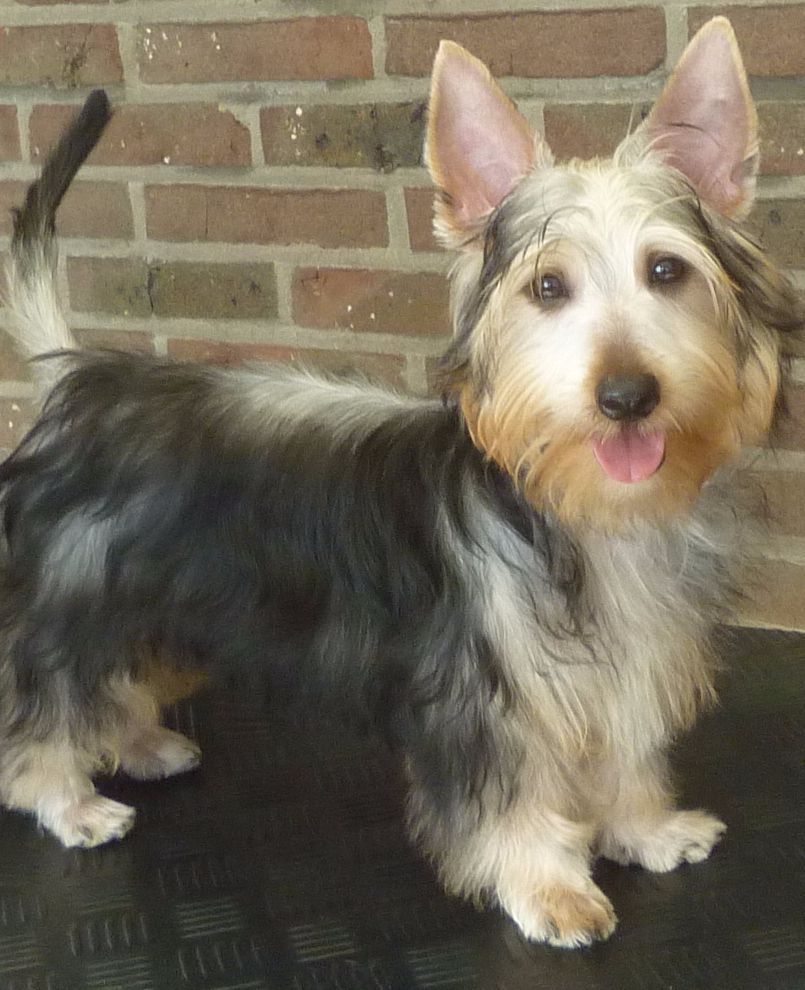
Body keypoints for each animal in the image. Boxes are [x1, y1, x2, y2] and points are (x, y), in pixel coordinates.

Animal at [0, 17, 799, 948]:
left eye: (666, 272)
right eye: (547, 287)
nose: (626, 396)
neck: (571, 511)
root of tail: (81, 380)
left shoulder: (625, 662)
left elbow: (625, 757)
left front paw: (645, 830)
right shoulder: (483, 696)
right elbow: (510, 801)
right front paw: (547, 887)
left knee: (116, 681)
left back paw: (141, 744)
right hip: (77, 596)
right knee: (50, 704)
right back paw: (67, 800)